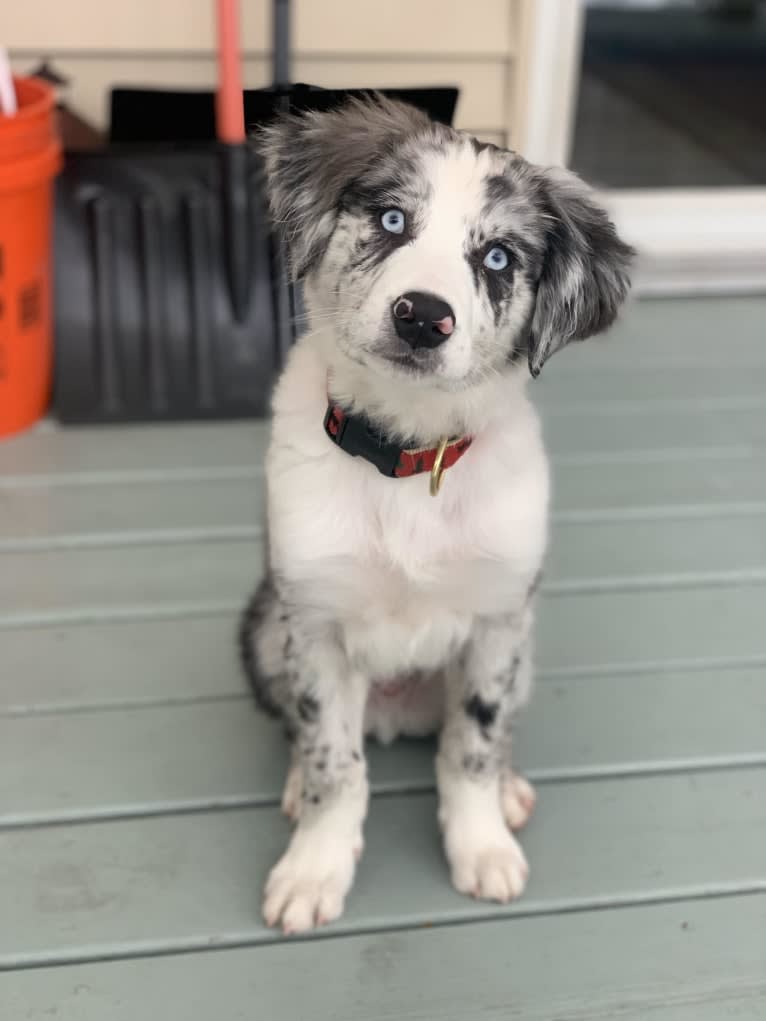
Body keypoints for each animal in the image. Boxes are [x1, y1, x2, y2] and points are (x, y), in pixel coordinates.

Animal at [241, 95, 637, 935]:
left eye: (498, 259)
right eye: (392, 219)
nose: (423, 317)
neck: (408, 455)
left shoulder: (497, 619)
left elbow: (473, 743)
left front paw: (481, 843)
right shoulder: (313, 622)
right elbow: (332, 757)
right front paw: (314, 866)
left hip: (524, 643)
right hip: (264, 628)